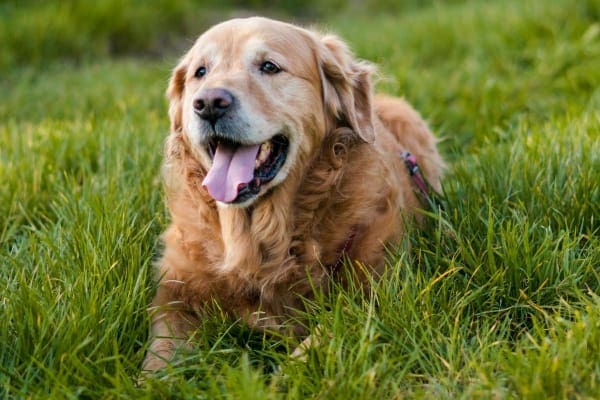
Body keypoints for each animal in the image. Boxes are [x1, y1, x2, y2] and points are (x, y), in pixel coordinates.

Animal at [143, 16, 442, 372]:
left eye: (269, 66)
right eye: (200, 72)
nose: (209, 104)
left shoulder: (372, 295)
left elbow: (317, 345)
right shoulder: (175, 296)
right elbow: (158, 357)